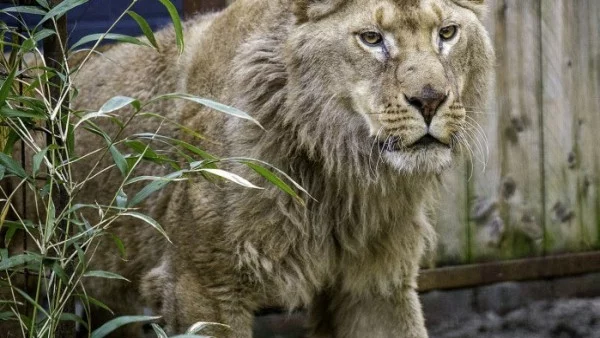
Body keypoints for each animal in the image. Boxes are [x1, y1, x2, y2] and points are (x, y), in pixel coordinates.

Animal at [68, 0, 494, 336]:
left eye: (447, 33)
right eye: (371, 38)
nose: (430, 100)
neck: (339, 173)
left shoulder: (377, 284)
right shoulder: (200, 285)